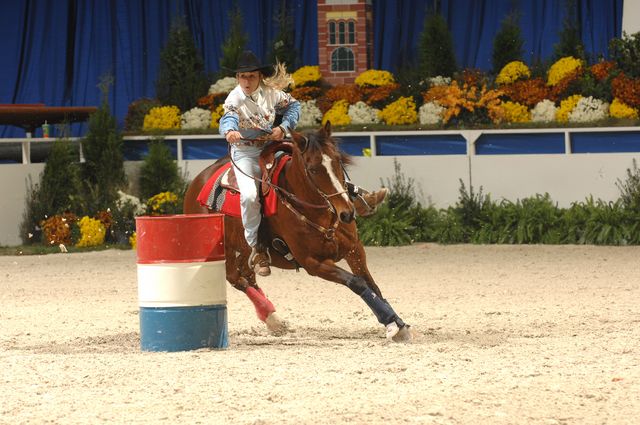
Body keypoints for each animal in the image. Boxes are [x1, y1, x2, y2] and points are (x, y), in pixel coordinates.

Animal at [182, 121, 412, 342]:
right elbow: (357, 282)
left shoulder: (354, 250)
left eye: (338, 161)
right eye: (313, 169)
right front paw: (392, 323)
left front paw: (397, 322)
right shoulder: (313, 263)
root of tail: (198, 183)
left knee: (247, 275)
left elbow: (373, 285)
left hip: (244, 249)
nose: (347, 213)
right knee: (234, 277)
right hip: (223, 249)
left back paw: (272, 318)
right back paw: (272, 318)